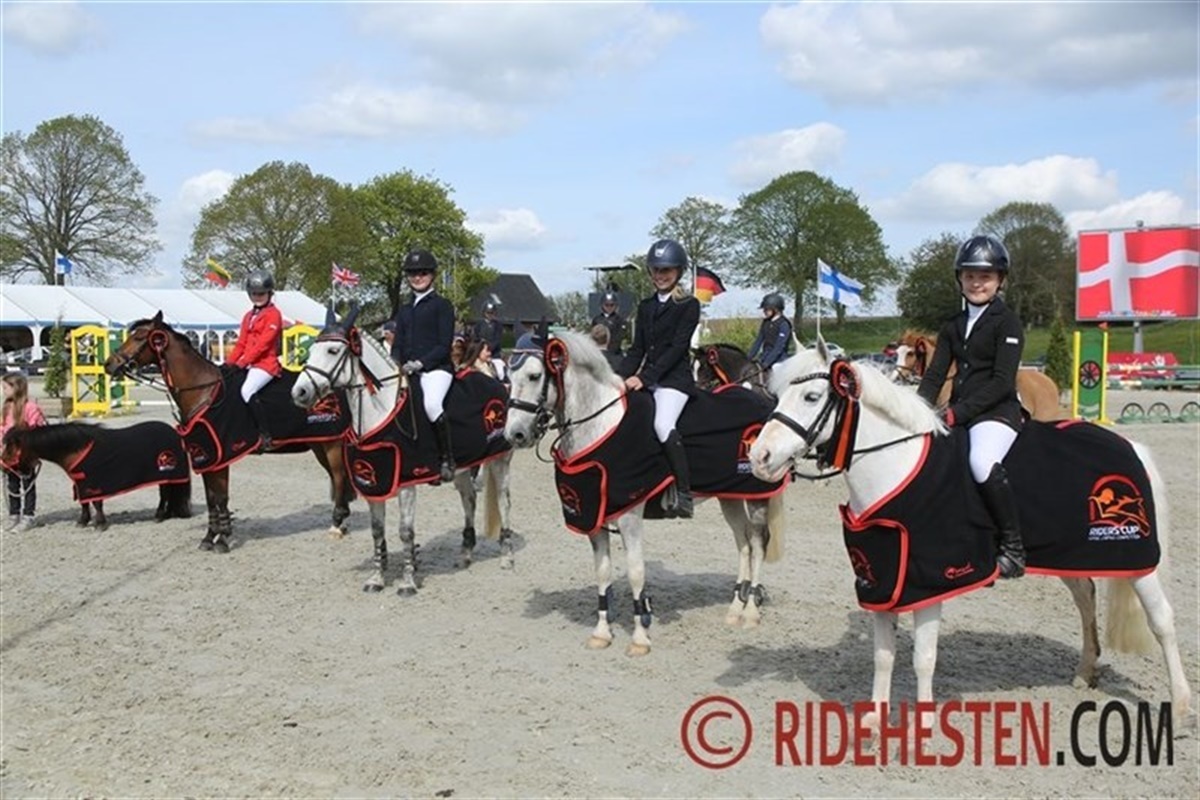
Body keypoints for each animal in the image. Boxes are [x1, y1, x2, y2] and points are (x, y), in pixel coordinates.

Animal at [2, 421, 192, 530]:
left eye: (10, 449)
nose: (2, 466)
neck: (76, 448)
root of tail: (175, 432)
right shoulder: (81, 483)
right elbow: (84, 503)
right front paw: (83, 521)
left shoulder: (94, 483)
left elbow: (96, 503)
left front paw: (100, 524)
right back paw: (165, 514)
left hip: (166, 473)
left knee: (165, 494)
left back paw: (159, 515)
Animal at [104, 311, 356, 554]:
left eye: (138, 337)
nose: (108, 364)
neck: (203, 391)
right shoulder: (206, 456)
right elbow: (211, 499)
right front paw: (209, 537)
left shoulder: (222, 456)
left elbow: (222, 498)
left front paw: (223, 539)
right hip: (320, 444)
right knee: (337, 478)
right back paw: (342, 520)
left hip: (332, 444)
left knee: (339, 477)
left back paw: (337, 523)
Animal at [290, 305, 515, 595]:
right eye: (312, 350)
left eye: (333, 351)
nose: (299, 392)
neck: (381, 409)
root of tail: (496, 384)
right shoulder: (376, 481)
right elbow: (377, 531)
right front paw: (376, 578)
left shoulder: (407, 481)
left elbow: (405, 532)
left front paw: (408, 581)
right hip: (463, 468)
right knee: (469, 500)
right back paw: (465, 554)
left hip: (501, 460)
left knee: (504, 501)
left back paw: (507, 557)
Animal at [504, 330, 786, 655]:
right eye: (509, 376)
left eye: (535, 375)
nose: (514, 434)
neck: (601, 423)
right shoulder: (594, 515)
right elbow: (602, 571)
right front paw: (602, 633)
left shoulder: (629, 516)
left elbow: (636, 571)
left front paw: (640, 637)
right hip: (729, 496)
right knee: (743, 543)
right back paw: (734, 609)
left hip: (756, 497)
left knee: (758, 543)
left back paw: (750, 612)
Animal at [748, 339, 1193, 734]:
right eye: (777, 395)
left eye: (811, 396)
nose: (759, 457)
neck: (896, 464)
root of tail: (1128, 444)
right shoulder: (884, 580)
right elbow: (883, 656)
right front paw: (874, 721)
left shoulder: (928, 582)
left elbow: (923, 657)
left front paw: (925, 728)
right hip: (1072, 554)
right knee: (1086, 599)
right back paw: (1086, 672)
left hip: (1139, 562)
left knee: (1162, 620)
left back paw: (1181, 704)